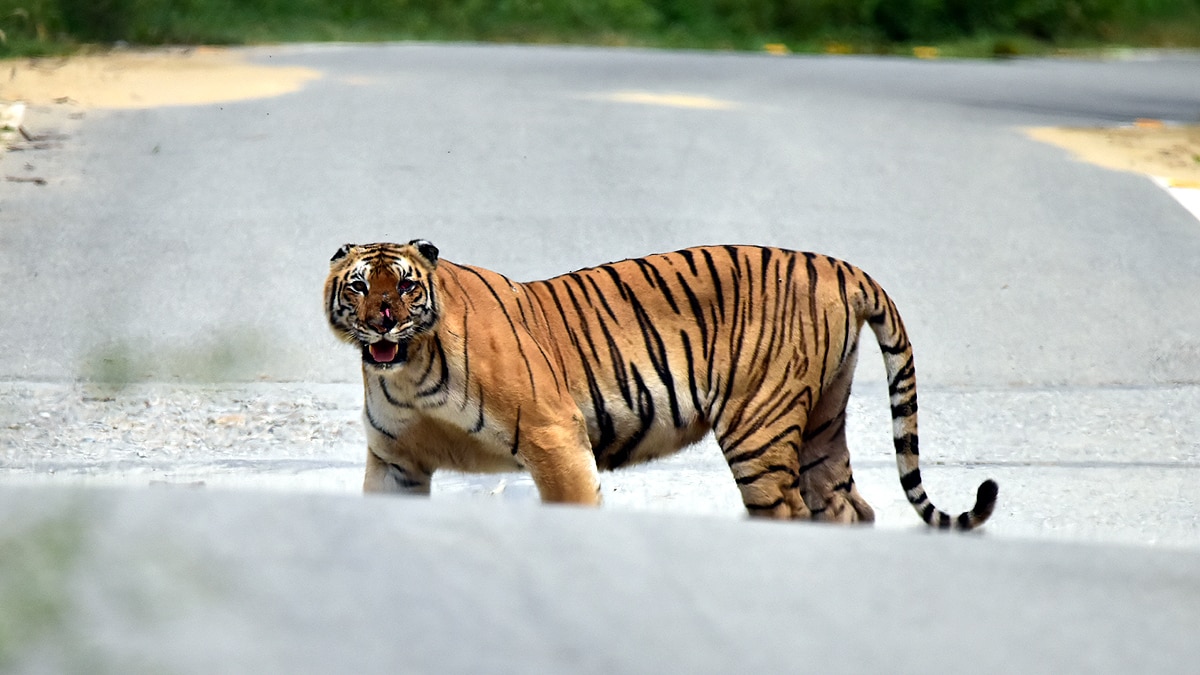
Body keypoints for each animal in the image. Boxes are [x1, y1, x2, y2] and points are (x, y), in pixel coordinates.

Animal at [325, 240, 998, 529]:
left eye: (406, 285)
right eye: (359, 285)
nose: (382, 319)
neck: (407, 370)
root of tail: (839, 265)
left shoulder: (553, 435)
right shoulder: (396, 462)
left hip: (760, 427)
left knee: (787, 510)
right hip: (822, 422)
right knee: (846, 506)